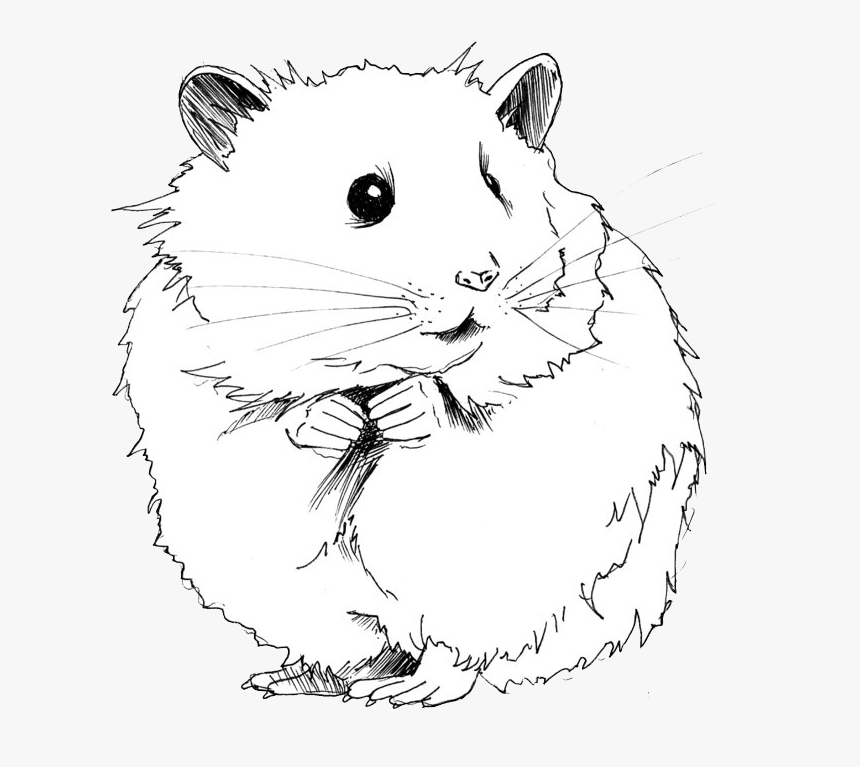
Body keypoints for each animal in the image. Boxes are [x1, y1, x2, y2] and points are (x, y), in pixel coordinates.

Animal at [117, 49, 704, 707]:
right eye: (368, 196)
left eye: (496, 185)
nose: (482, 277)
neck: (376, 366)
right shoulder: (203, 365)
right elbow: (271, 414)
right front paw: (337, 418)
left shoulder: (567, 348)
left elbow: (481, 397)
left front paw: (405, 409)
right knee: (354, 644)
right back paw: (291, 680)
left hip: (487, 582)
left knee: (455, 650)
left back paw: (406, 692)